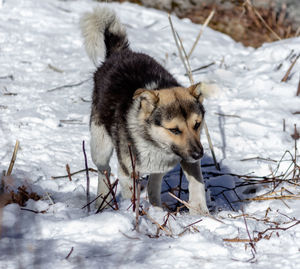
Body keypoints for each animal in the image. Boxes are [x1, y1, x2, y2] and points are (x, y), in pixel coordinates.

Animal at [81, 6, 214, 214]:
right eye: (174, 130)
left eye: (197, 124)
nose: (198, 154)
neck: (155, 142)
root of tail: (120, 53)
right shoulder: (128, 172)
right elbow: (131, 196)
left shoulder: (186, 158)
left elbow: (197, 185)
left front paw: (201, 212)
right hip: (100, 146)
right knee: (104, 171)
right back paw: (102, 203)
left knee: (154, 183)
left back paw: (156, 208)